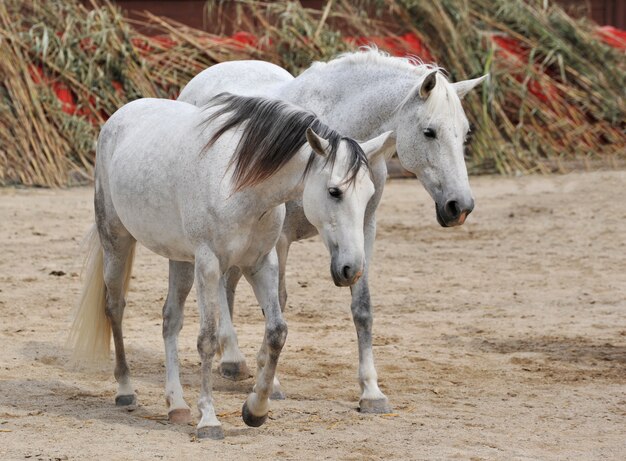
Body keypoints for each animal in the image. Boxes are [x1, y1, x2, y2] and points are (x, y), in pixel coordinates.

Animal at [68, 90, 390, 438]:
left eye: (369, 195)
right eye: (334, 191)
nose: (352, 269)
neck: (240, 186)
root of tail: (117, 118)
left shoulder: (261, 264)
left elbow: (276, 332)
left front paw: (255, 410)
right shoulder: (209, 265)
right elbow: (208, 339)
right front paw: (209, 419)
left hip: (180, 260)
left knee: (170, 320)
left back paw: (176, 404)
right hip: (117, 241)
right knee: (114, 308)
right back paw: (126, 389)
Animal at [178, 48, 486, 412]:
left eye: (464, 133)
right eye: (429, 132)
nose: (460, 206)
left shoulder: (363, 228)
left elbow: (362, 308)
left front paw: (371, 391)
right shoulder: (279, 240)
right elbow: (276, 304)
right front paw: (270, 383)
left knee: (228, 283)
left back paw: (233, 358)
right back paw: (233, 360)